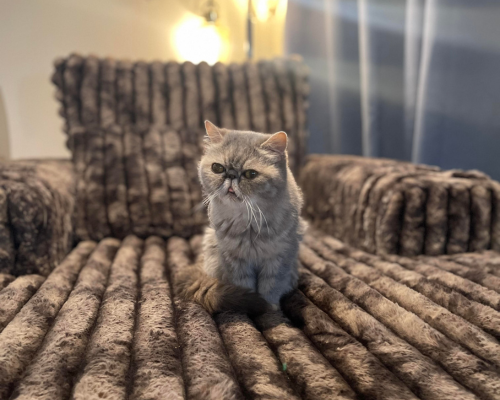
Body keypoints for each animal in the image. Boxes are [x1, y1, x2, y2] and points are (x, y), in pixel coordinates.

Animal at [178, 120, 306, 314]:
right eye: (218, 168)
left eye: (250, 174)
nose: (231, 175)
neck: (248, 221)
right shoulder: (235, 260)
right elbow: (246, 287)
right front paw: (253, 308)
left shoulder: (279, 258)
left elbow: (271, 287)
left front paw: (270, 308)